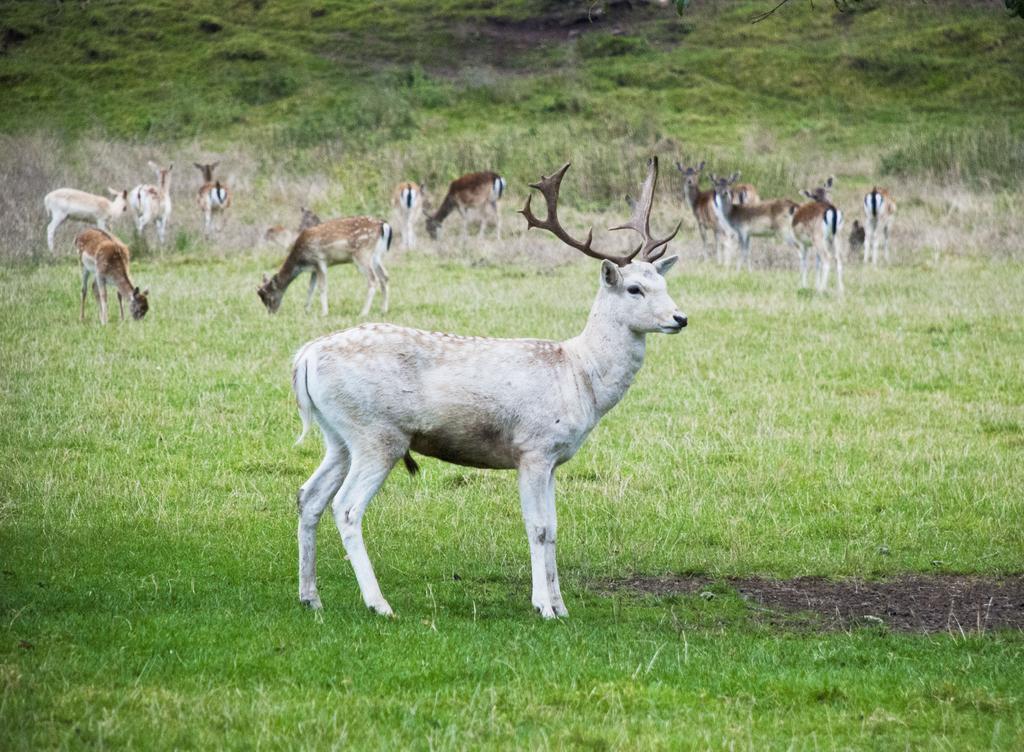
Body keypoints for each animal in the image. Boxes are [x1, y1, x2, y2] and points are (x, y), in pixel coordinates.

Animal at [258, 216, 393, 317]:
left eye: (268, 296)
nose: (271, 313)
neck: (301, 261)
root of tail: (384, 225)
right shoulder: (313, 268)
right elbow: (310, 288)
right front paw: (306, 310)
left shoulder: (320, 261)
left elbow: (322, 287)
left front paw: (324, 313)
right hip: (375, 256)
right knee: (385, 276)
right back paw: (383, 310)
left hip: (362, 254)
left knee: (373, 279)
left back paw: (363, 313)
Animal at [290, 157, 688, 618]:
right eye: (634, 288)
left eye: (665, 284)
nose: (680, 318)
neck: (579, 377)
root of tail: (305, 356)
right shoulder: (533, 448)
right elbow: (538, 527)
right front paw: (543, 607)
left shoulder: (554, 459)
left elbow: (555, 528)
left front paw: (562, 606)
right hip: (377, 433)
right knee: (347, 507)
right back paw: (379, 604)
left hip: (338, 435)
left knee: (309, 495)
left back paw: (310, 596)